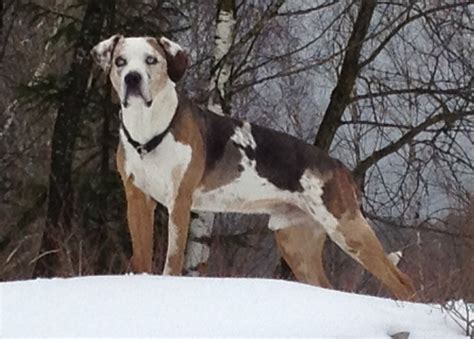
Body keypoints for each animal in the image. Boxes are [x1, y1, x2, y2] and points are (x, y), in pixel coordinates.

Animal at [91, 34, 414, 300]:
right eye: (120, 61)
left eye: (151, 60)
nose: (132, 79)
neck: (148, 131)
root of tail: (340, 168)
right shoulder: (137, 199)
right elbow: (141, 254)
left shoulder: (179, 202)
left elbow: (172, 260)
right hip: (296, 241)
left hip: (346, 227)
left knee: (402, 282)